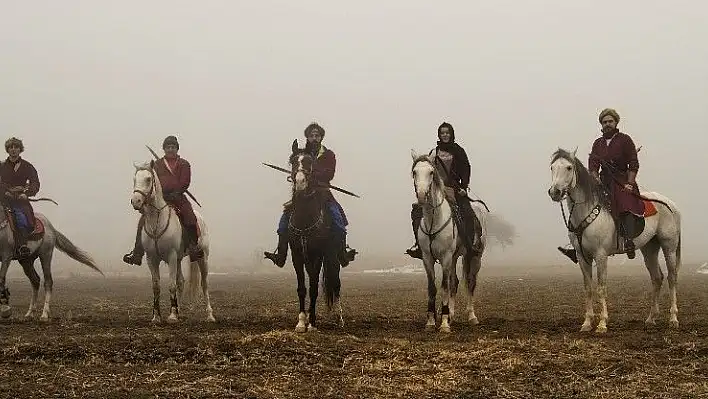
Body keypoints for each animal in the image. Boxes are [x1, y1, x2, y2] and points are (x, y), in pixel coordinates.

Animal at [130, 161, 213, 324]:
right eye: (135, 179)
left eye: (148, 179)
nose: (136, 201)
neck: (157, 222)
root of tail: (200, 218)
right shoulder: (152, 258)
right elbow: (156, 286)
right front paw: (157, 316)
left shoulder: (171, 256)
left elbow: (171, 285)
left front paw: (173, 315)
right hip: (180, 259)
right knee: (181, 281)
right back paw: (179, 311)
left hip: (202, 258)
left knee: (204, 284)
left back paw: (209, 315)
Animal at [288, 139, 342, 332]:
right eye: (293, 161)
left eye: (309, 162)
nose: (300, 181)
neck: (305, 218)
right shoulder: (297, 255)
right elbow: (302, 288)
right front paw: (301, 322)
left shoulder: (317, 255)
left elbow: (313, 288)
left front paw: (311, 323)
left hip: (332, 257)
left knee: (335, 283)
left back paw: (339, 318)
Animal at [410, 152, 486, 332]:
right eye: (415, 172)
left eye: (431, 172)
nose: (422, 195)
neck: (434, 220)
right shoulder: (428, 258)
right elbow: (433, 287)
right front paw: (431, 322)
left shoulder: (445, 257)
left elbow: (444, 286)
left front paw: (444, 325)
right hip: (454, 257)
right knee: (455, 283)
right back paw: (451, 314)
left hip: (474, 257)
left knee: (470, 282)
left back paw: (471, 316)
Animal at [548, 148, 680, 332]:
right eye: (552, 167)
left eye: (568, 167)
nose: (555, 192)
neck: (587, 210)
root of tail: (671, 204)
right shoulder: (583, 257)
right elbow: (588, 288)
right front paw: (587, 322)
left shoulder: (601, 255)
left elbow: (601, 287)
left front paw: (602, 323)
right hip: (649, 249)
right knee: (657, 278)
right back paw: (651, 318)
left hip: (669, 246)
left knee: (672, 278)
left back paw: (673, 318)